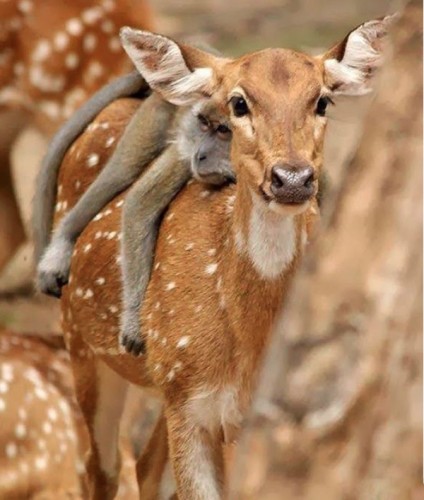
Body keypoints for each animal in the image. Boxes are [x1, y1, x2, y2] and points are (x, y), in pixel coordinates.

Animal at [50, 16, 394, 500]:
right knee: (101, 469)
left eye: (322, 100)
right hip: (82, 344)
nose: (292, 178)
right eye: (239, 103)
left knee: (144, 466)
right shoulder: (188, 402)